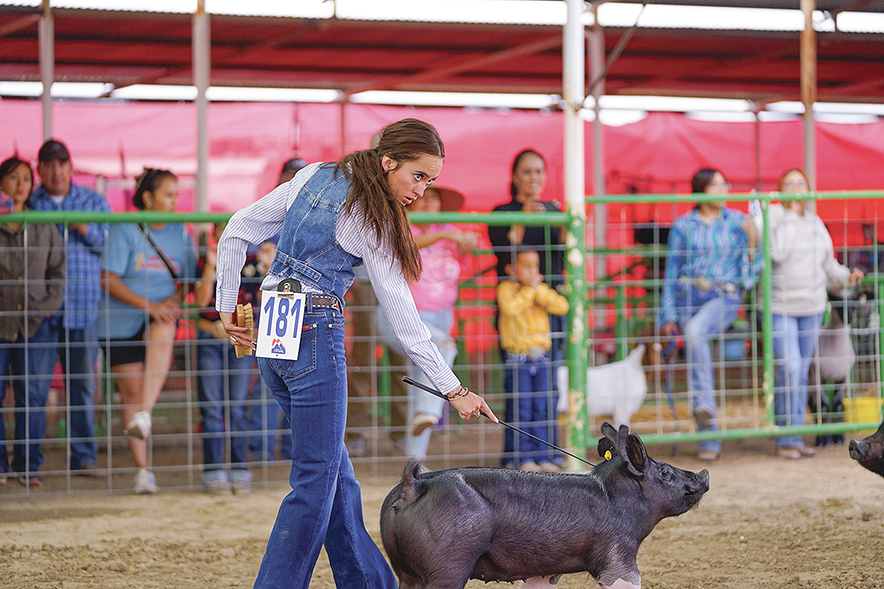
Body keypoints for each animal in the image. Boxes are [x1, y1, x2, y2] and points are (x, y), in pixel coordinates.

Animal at [380, 422, 712, 588]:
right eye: (666, 472)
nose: (705, 473)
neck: (617, 500)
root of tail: (413, 485)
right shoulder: (617, 554)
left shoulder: (544, 567)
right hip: (448, 564)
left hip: (405, 571)